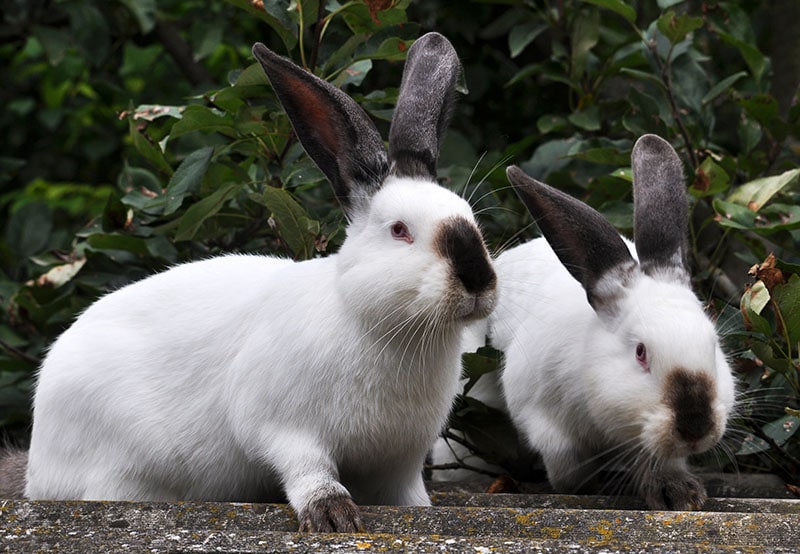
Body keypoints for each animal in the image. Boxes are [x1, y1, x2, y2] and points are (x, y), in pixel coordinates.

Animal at [24, 32, 497, 533]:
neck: (389, 329)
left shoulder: (399, 461)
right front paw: (332, 516)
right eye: (400, 230)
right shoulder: (282, 426)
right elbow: (308, 469)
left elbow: (408, 496)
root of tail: (38, 466)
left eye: (471, 219)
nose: (477, 279)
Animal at [486, 134, 736, 510]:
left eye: (714, 345)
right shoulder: (543, 419)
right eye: (640, 352)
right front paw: (586, 486)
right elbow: (567, 466)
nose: (696, 425)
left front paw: (678, 493)